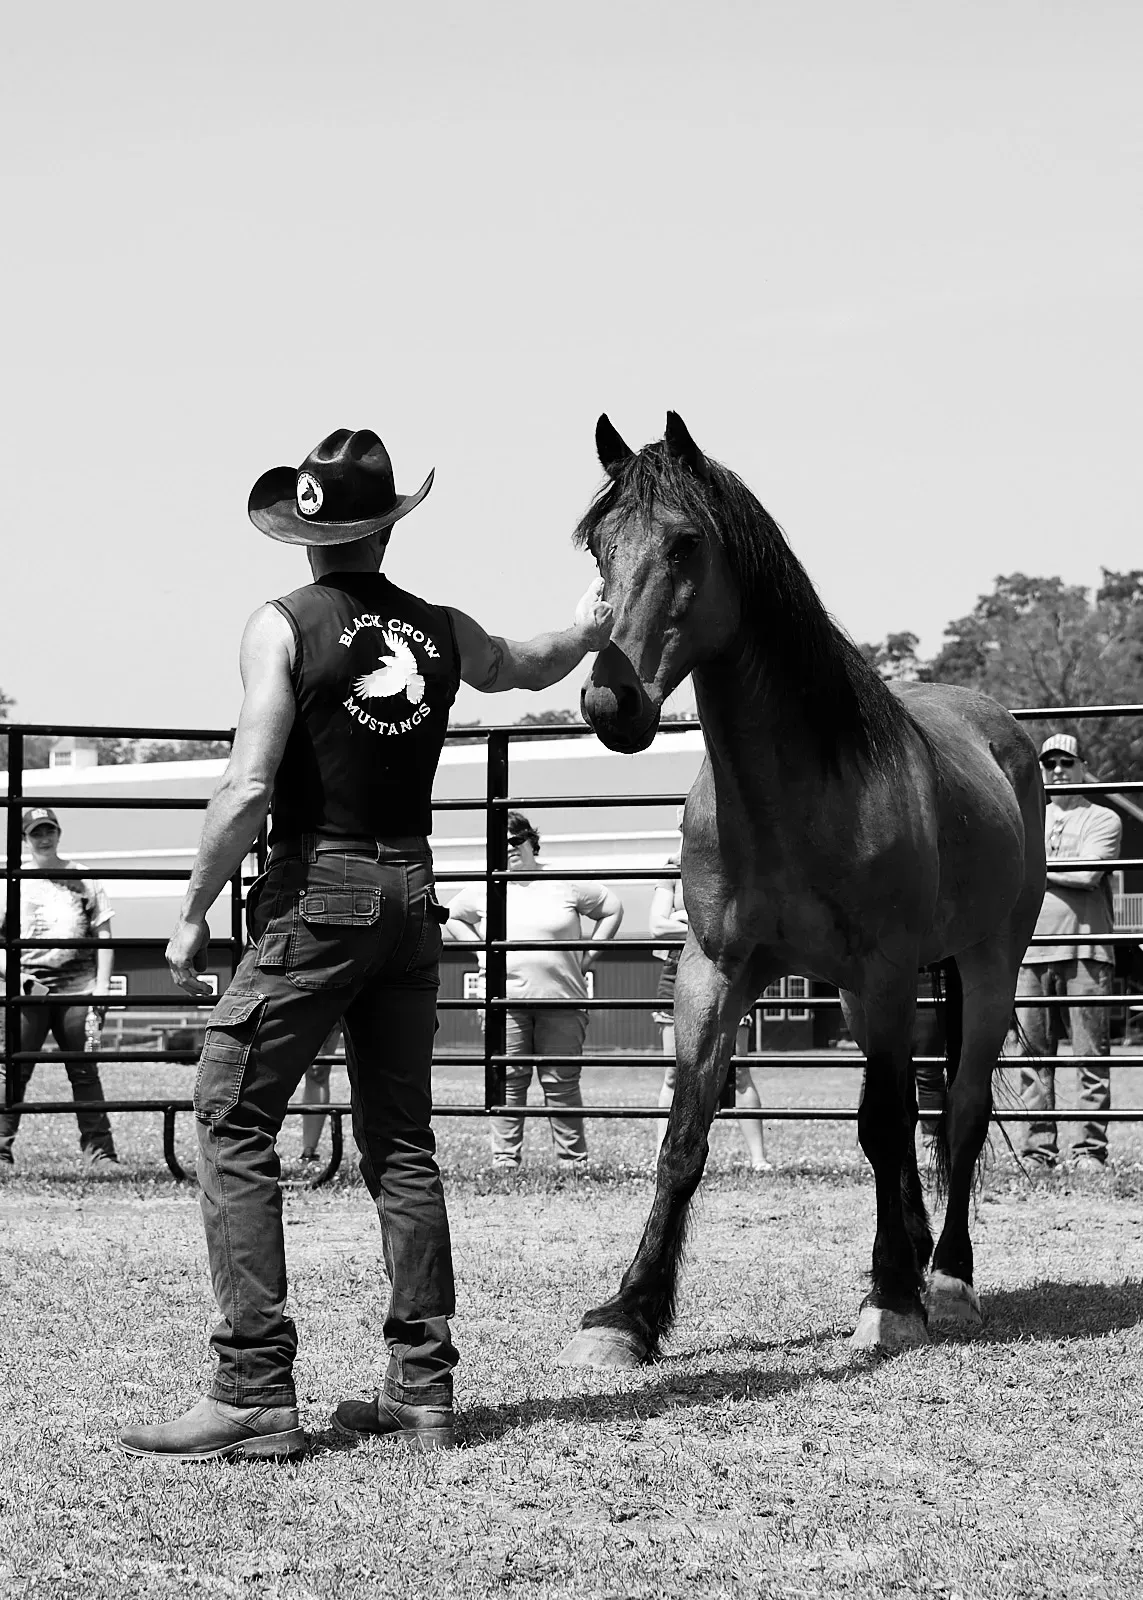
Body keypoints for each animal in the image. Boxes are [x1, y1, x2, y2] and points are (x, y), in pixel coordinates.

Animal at [553, 409, 1043, 1363]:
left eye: (686, 542)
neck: (795, 792)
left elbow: (884, 1126)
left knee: (959, 1113)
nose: (610, 704)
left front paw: (890, 1302)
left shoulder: (880, 973)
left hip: (986, 965)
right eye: (598, 544)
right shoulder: (715, 971)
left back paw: (945, 1282)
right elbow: (685, 1136)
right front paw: (626, 1314)